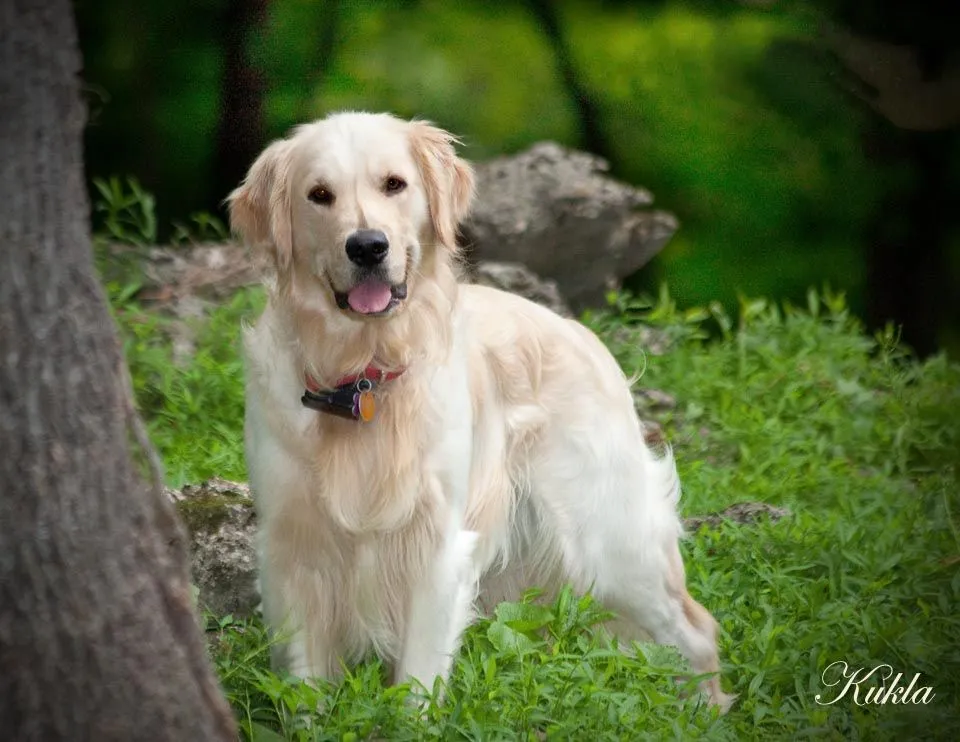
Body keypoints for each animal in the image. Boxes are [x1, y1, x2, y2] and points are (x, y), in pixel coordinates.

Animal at [227, 109, 736, 708]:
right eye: (319, 195)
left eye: (394, 184)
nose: (368, 246)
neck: (363, 374)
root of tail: (582, 332)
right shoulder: (292, 543)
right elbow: (306, 689)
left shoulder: (436, 545)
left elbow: (417, 683)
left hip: (609, 543)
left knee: (696, 630)